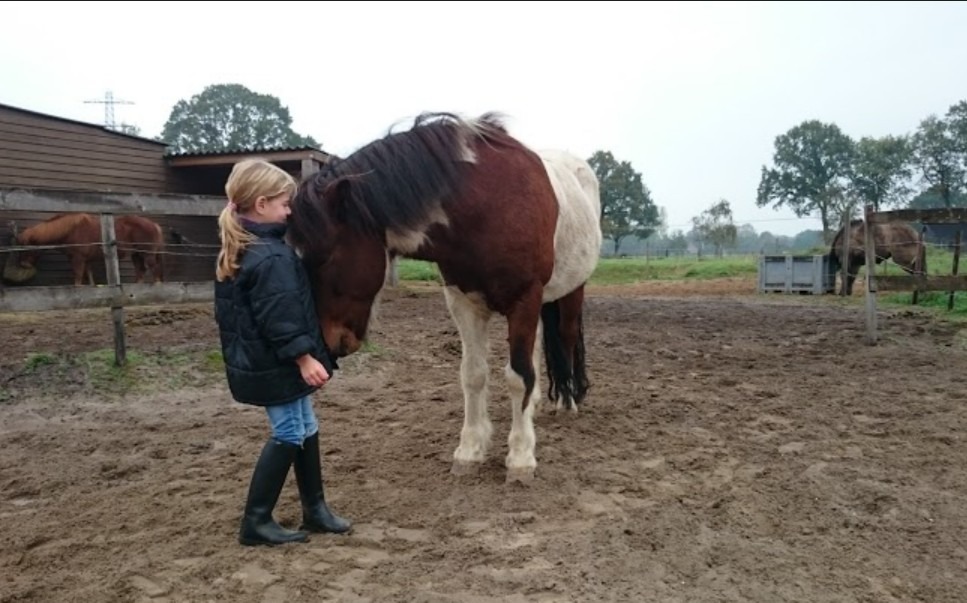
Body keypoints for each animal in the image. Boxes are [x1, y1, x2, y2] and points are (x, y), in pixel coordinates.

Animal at [16, 212, 166, 286]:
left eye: (26, 247)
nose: (23, 264)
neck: (71, 230)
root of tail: (154, 225)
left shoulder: (78, 259)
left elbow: (78, 276)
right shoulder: (87, 260)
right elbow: (89, 275)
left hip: (147, 254)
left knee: (154, 268)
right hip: (137, 255)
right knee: (141, 270)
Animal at [287, 111, 603, 483]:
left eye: (325, 258)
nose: (329, 344)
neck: (489, 204)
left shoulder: (524, 299)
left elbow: (517, 375)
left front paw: (521, 458)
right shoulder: (463, 302)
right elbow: (474, 374)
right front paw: (469, 452)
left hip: (572, 290)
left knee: (565, 339)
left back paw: (567, 403)